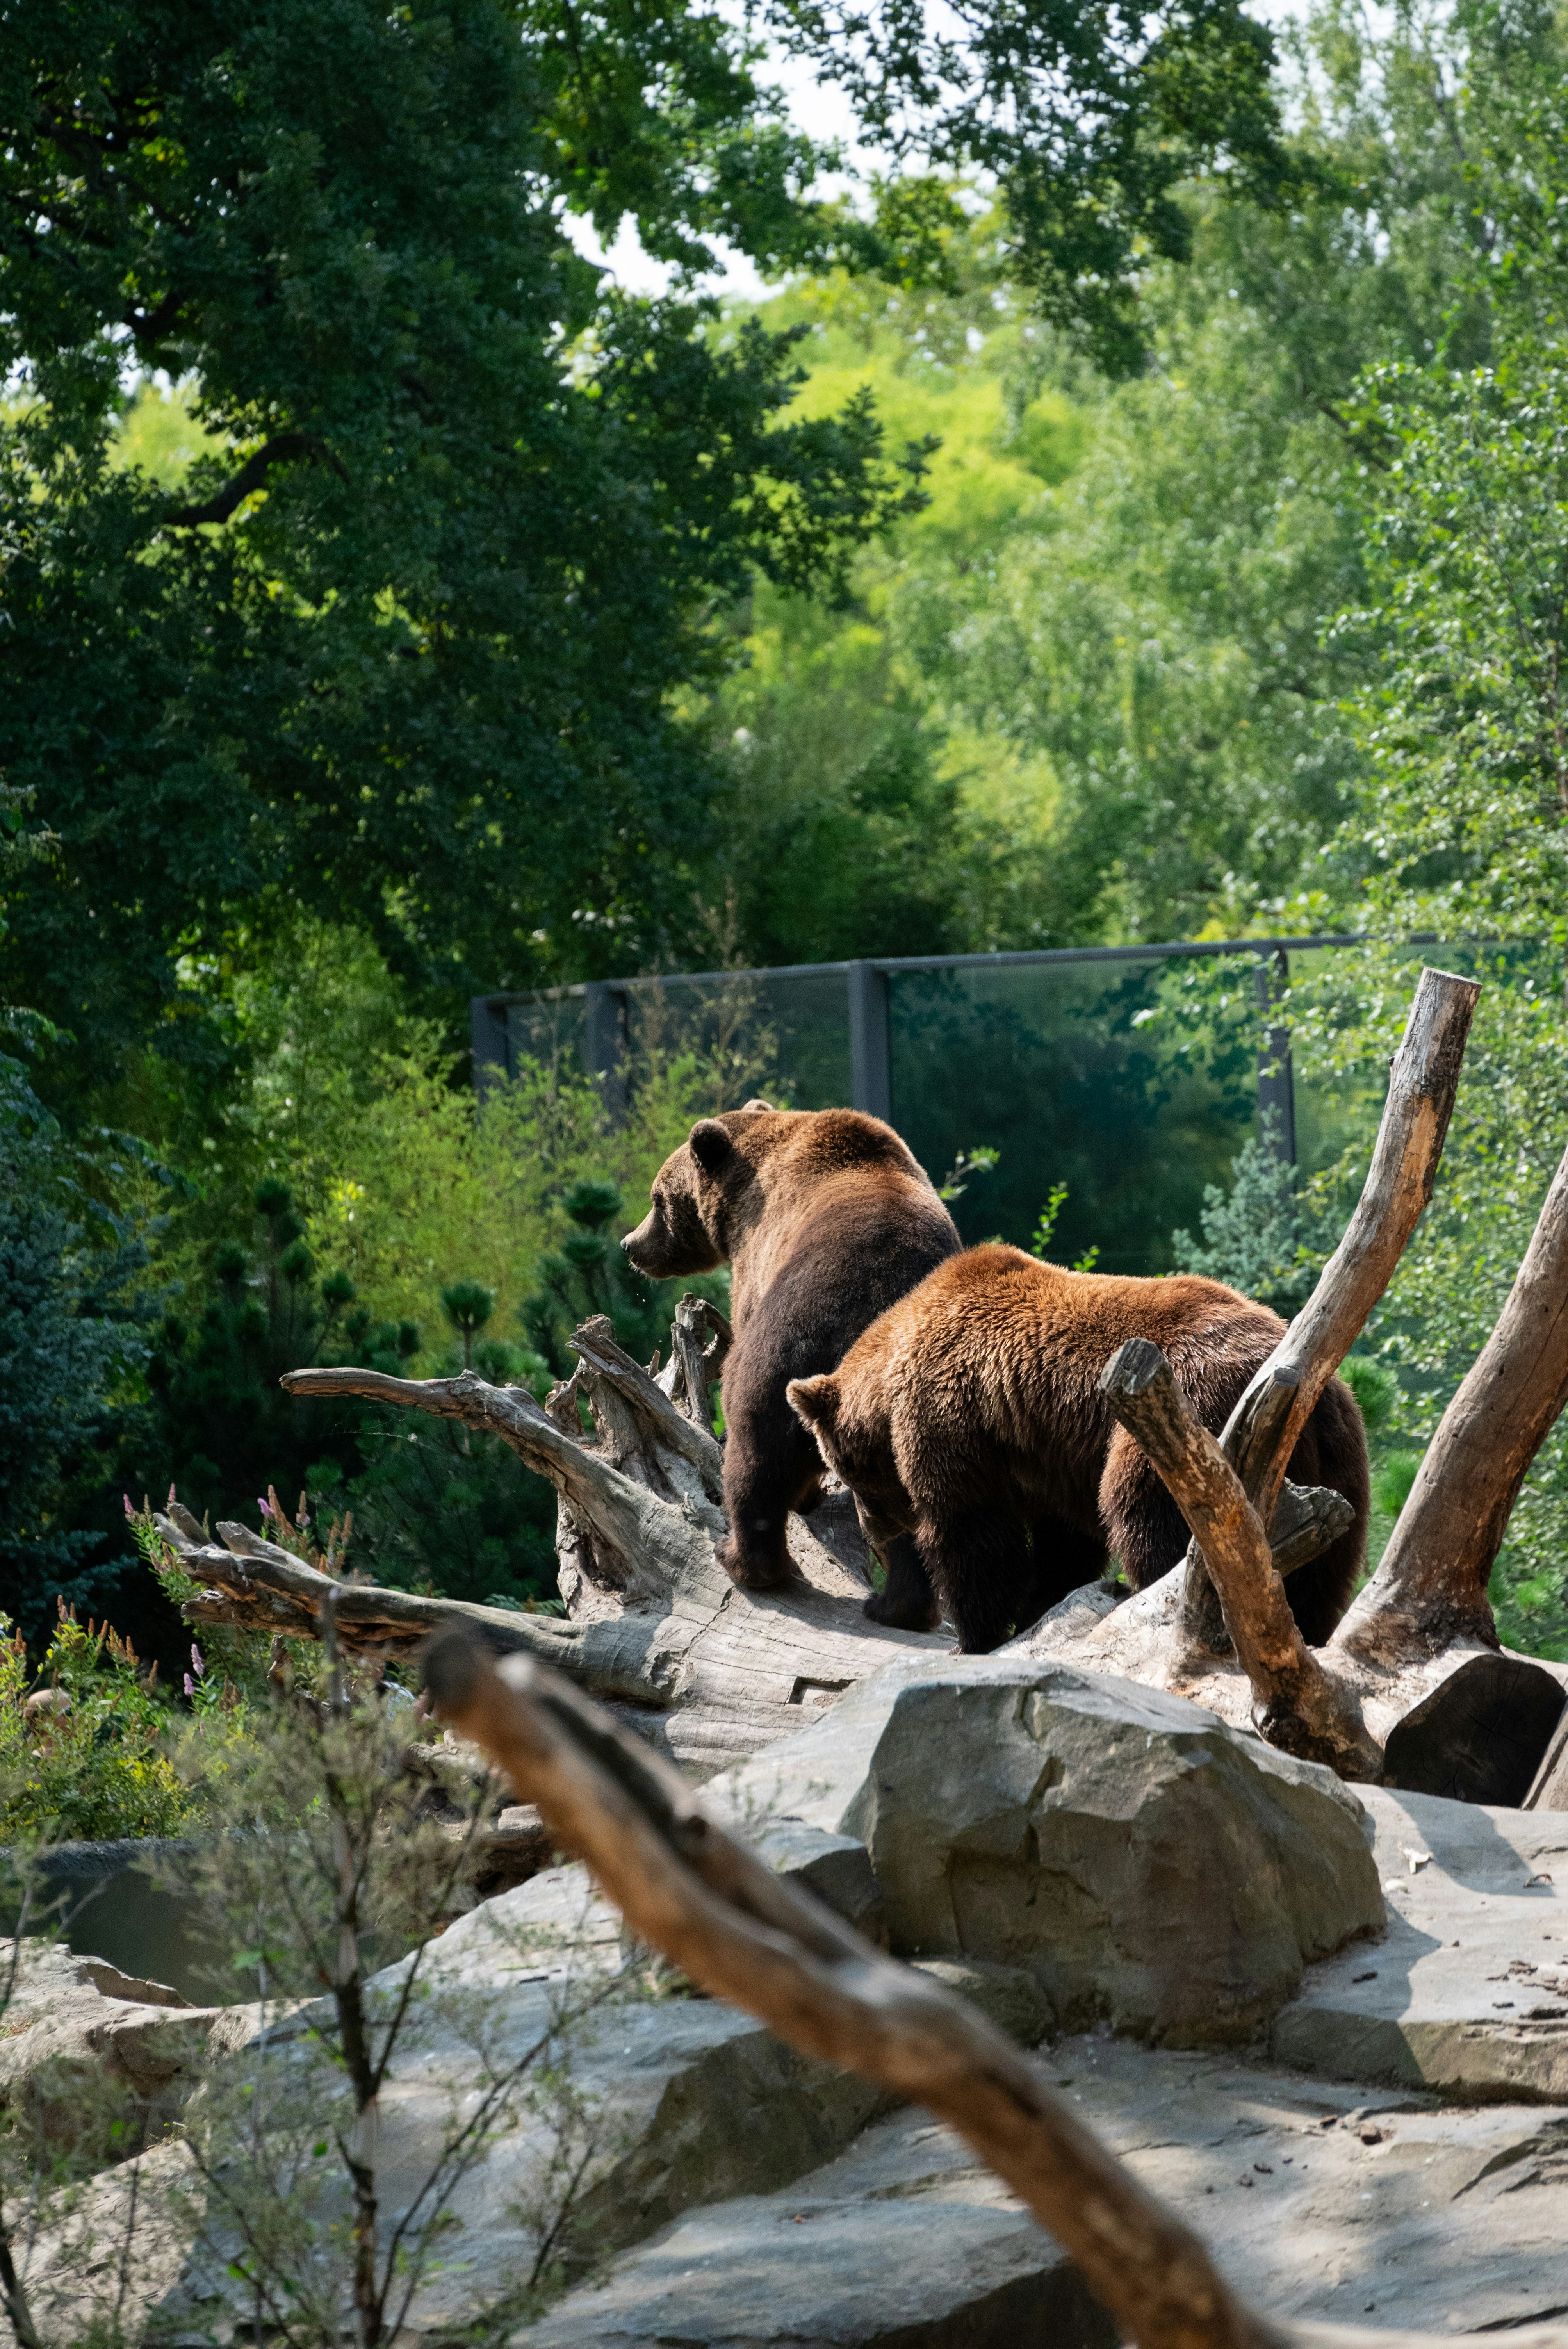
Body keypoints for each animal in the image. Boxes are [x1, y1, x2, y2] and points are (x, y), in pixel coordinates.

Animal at [621, 1102, 961, 1592]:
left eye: (657, 1199)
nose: (630, 1245)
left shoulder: (757, 1263)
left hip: (790, 1351)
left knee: (755, 1449)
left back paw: (745, 1557)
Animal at [786, 1243, 1369, 1653]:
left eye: (844, 1468)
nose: (875, 1530)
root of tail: (1297, 1382)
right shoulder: (1046, 1450)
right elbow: (1063, 1542)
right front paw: (1036, 1610)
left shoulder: (954, 1416)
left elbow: (969, 1528)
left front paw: (974, 1635)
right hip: (1339, 1456)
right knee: (1324, 1570)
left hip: (1190, 1408)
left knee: (1148, 1511)